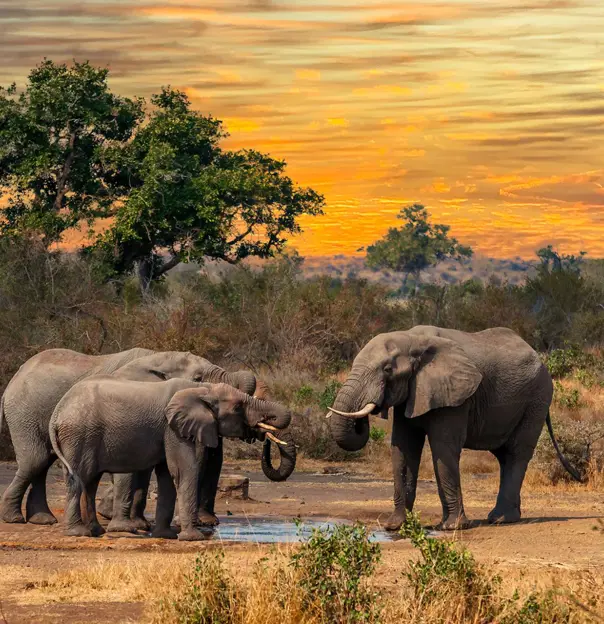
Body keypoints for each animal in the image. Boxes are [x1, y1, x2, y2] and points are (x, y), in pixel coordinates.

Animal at [0, 346, 260, 528]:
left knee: (43, 461)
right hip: (24, 412)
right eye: (197, 379)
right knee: (36, 460)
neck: (159, 356)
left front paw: (131, 521)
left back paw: (42, 520)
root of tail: (13, 379)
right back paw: (15, 519)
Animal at [49, 376, 290, 540]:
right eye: (238, 407)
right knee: (78, 478)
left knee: (90, 481)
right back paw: (78, 533)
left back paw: (96, 531)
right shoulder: (173, 429)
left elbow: (167, 474)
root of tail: (57, 411)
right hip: (79, 434)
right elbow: (184, 470)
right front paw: (193, 538)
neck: (203, 389)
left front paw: (167, 535)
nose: (263, 431)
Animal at [328, 326, 584, 532]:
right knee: (503, 456)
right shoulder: (412, 393)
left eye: (388, 369)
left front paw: (452, 527)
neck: (412, 339)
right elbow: (403, 450)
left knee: (516, 453)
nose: (363, 418)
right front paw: (395, 526)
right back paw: (506, 517)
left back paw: (501, 519)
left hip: (537, 398)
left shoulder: (455, 396)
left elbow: (443, 449)